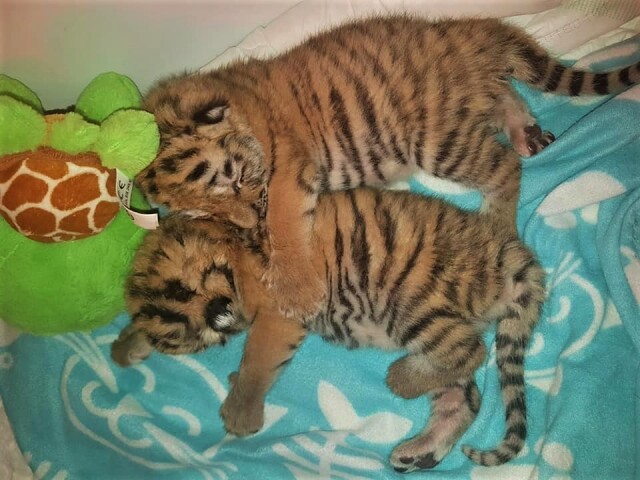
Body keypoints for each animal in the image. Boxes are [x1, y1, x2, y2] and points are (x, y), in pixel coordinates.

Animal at [112, 187, 545, 473]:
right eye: (190, 328)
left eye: (185, 288)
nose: (218, 314)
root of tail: (508, 250)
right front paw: (125, 347)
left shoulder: (278, 313)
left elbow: (257, 362)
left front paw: (239, 413)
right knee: (465, 392)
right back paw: (417, 452)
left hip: (412, 299)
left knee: (468, 351)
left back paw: (399, 379)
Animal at [135, 15, 638, 318]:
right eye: (206, 212)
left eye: (236, 179)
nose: (244, 222)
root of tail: (464, 31)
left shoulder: (287, 173)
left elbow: (283, 221)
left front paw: (295, 292)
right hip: (463, 114)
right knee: (505, 97)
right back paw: (525, 130)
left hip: (435, 140)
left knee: (503, 166)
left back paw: (498, 219)